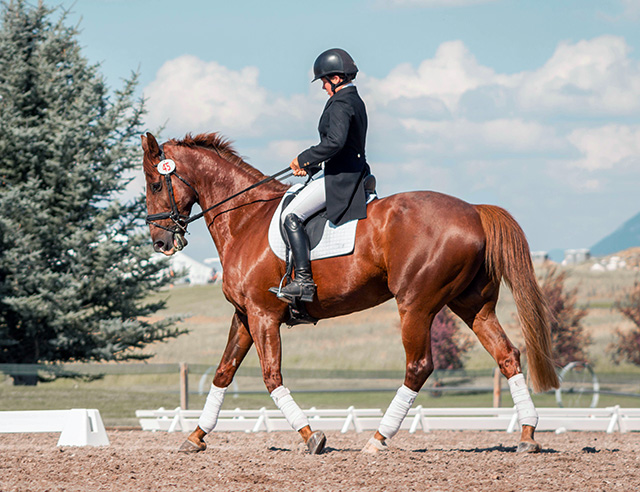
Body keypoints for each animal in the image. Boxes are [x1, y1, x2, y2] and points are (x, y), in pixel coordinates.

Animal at [141, 131, 559, 455]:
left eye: (156, 183)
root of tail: (473, 211)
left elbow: (271, 376)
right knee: (507, 355)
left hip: (416, 305)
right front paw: (195, 437)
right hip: (473, 305)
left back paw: (378, 438)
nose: (160, 242)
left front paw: (311, 436)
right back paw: (527, 435)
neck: (245, 219)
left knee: (418, 367)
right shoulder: (245, 315)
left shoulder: (263, 315)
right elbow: (224, 372)